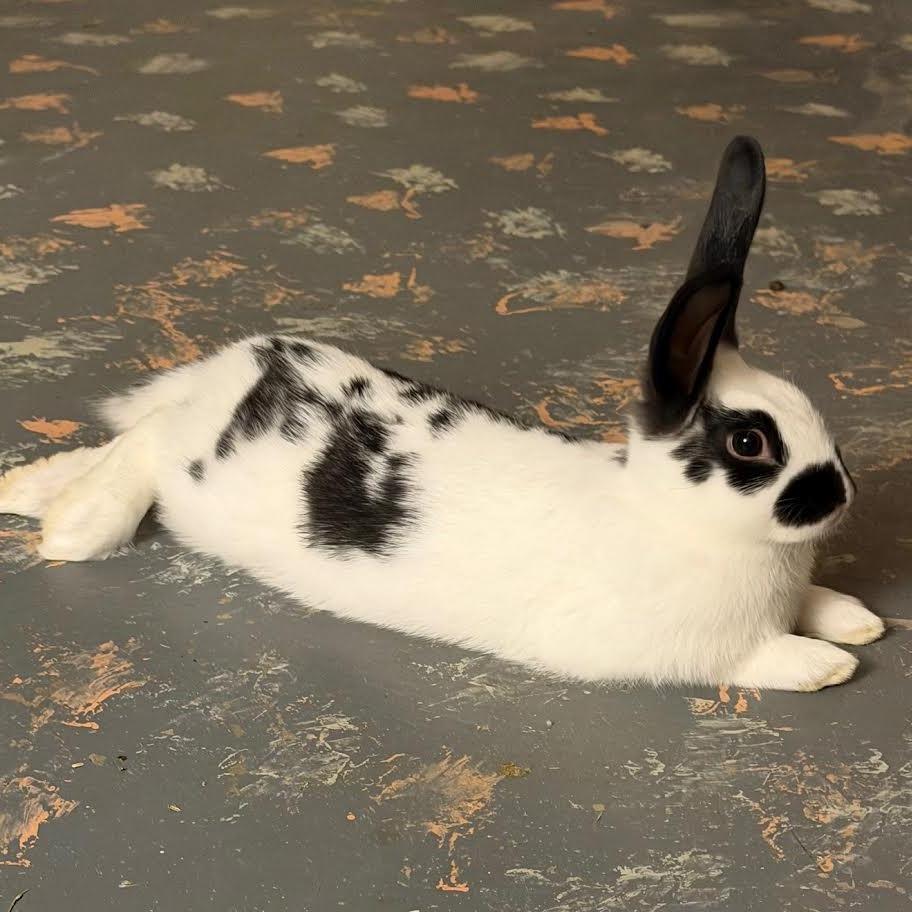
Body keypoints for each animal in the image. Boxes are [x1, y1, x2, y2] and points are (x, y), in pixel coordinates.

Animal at [0, 136, 885, 691]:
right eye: (750, 442)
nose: (842, 496)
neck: (671, 520)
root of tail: (234, 367)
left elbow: (819, 604)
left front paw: (856, 619)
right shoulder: (688, 650)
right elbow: (758, 661)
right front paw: (827, 665)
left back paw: (31, 492)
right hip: (185, 468)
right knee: (142, 444)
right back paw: (72, 527)